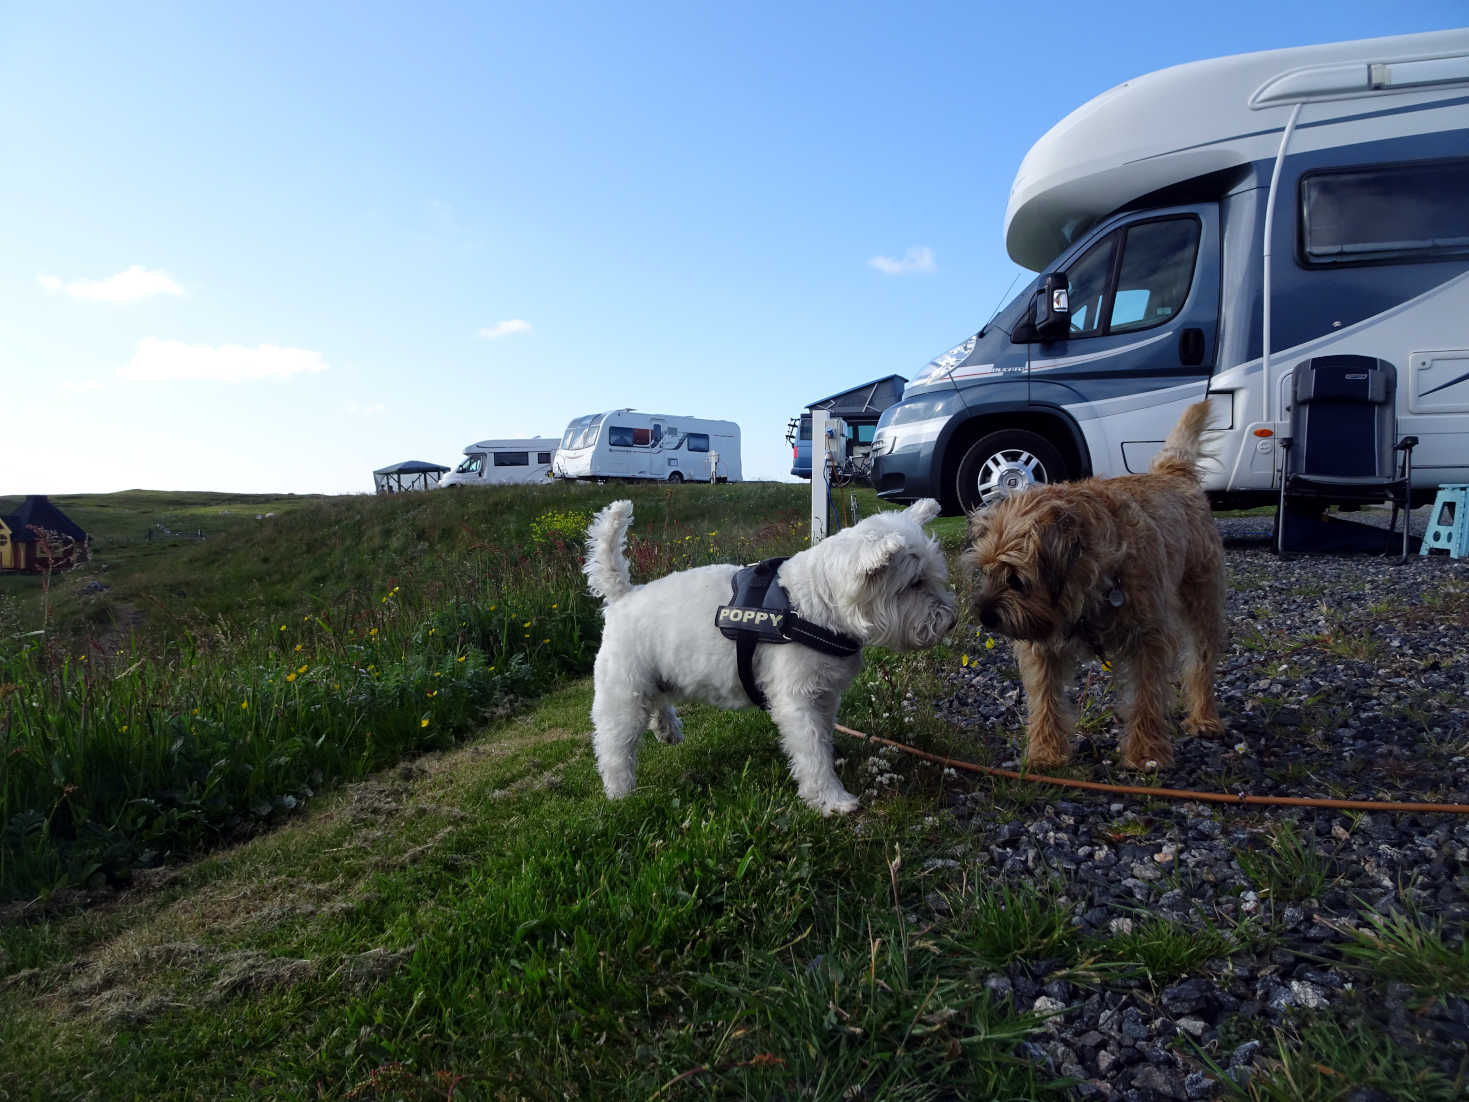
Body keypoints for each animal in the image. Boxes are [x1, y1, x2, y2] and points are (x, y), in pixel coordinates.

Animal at [578, 505, 957, 816]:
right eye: (914, 583)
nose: (950, 621)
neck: (814, 607)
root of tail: (623, 597)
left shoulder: (824, 695)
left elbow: (822, 737)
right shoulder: (797, 699)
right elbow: (811, 748)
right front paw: (831, 798)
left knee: (658, 701)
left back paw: (667, 729)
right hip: (622, 693)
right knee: (614, 747)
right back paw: (621, 793)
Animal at [963, 402, 1228, 769]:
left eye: (1017, 579)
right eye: (986, 571)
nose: (985, 615)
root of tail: (1172, 473)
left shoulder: (1149, 638)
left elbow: (1146, 695)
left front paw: (1147, 752)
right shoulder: (1042, 647)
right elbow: (1044, 698)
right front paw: (1045, 752)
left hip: (1202, 598)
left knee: (1201, 661)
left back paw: (1204, 717)